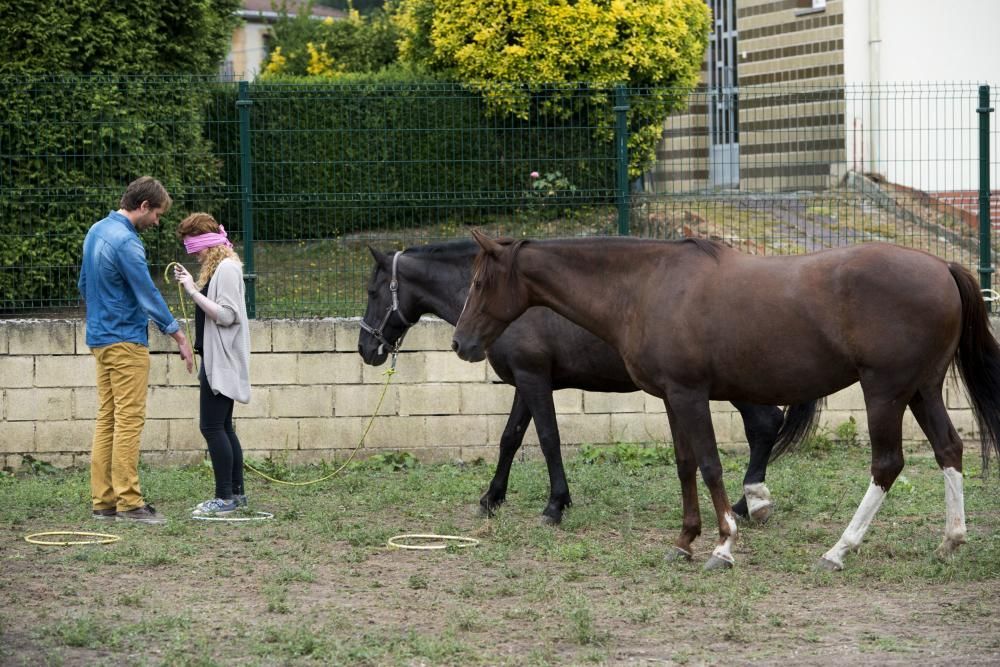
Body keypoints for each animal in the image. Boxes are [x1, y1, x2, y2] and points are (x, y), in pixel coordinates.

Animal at [356, 243, 816, 524]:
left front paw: (555, 504)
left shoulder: (534, 380)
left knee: (764, 425)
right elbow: (510, 438)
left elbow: (547, 438)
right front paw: (492, 498)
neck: (515, 302)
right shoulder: (524, 383)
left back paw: (743, 505)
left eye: (373, 291)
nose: (365, 348)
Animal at [452, 232, 1000, 572]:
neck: (648, 286)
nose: (460, 343)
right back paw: (950, 541)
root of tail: (942, 266)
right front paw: (683, 543)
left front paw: (723, 546)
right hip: (922, 389)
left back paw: (839, 550)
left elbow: (712, 465)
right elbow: (685, 465)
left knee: (887, 464)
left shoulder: (691, 394)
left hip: (885, 391)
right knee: (949, 450)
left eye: (479, 282)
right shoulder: (672, 398)